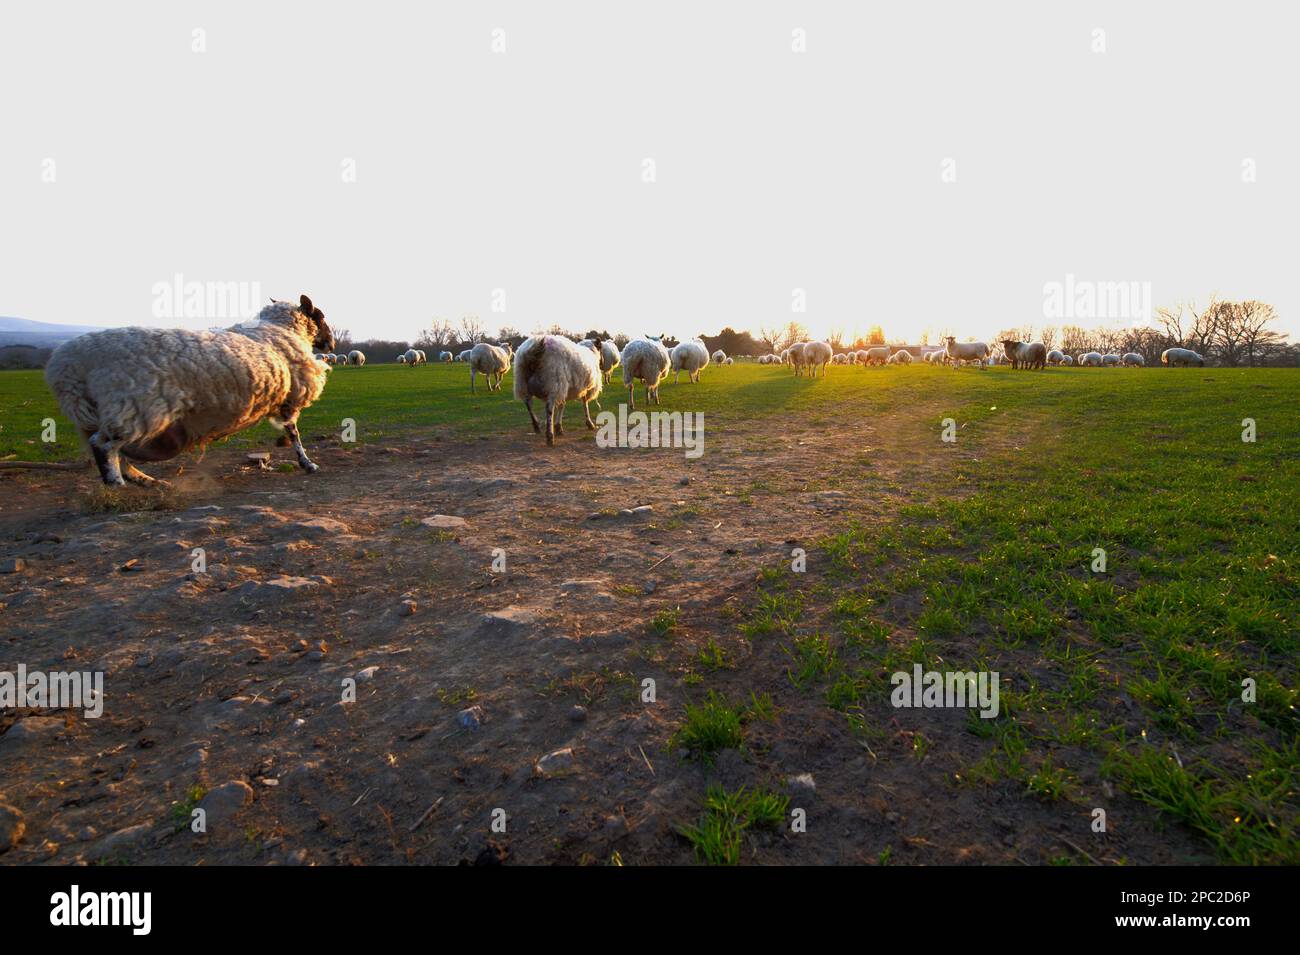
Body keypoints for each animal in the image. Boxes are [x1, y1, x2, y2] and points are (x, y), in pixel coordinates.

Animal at [47, 293, 335, 488]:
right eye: (320, 316)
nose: (331, 344)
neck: (282, 329)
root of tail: (68, 363)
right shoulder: (291, 396)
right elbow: (294, 434)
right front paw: (307, 463)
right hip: (134, 409)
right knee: (104, 445)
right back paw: (117, 485)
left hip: (105, 414)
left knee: (115, 451)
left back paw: (145, 481)